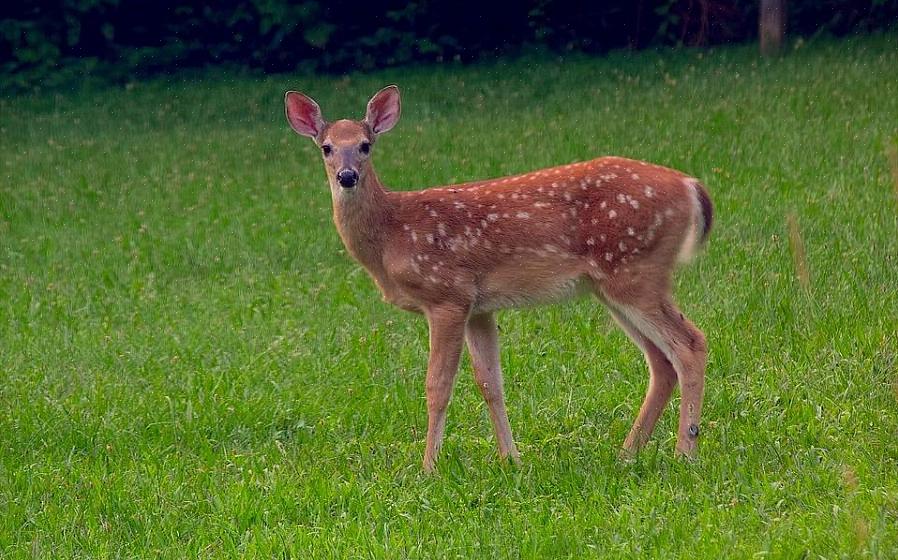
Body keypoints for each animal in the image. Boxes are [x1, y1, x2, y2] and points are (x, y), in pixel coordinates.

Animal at [284, 86, 712, 472]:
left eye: (365, 145)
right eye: (326, 147)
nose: (347, 176)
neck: (393, 234)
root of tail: (690, 186)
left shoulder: (447, 296)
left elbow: (438, 386)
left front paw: (428, 468)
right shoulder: (479, 308)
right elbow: (491, 383)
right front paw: (512, 459)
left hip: (636, 272)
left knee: (691, 343)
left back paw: (685, 454)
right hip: (614, 284)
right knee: (662, 361)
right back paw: (627, 455)